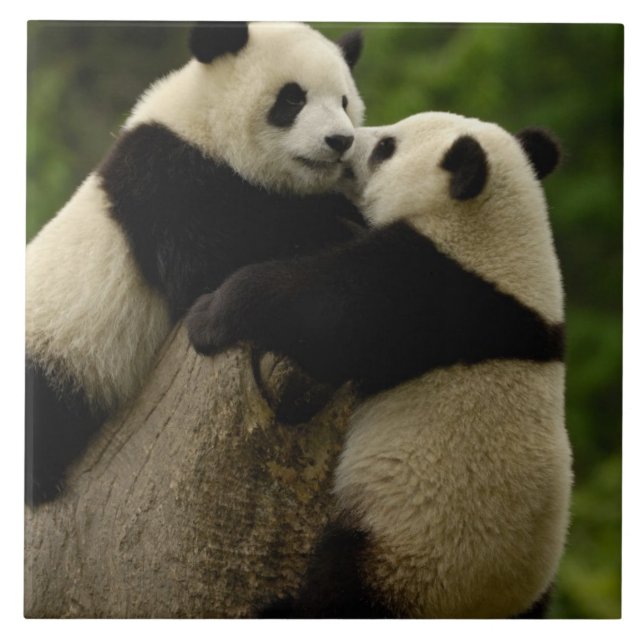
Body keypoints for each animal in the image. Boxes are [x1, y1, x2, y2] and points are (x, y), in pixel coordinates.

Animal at [25, 22, 366, 506]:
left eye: (344, 101)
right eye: (292, 99)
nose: (340, 141)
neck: (203, 124)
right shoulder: (164, 180)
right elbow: (208, 263)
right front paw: (334, 223)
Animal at [186, 111, 573, 618]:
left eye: (386, 147)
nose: (345, 142)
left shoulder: (429, 290)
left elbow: (323, 314)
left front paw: (209, 315)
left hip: (403, 554)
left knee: (340, 592)